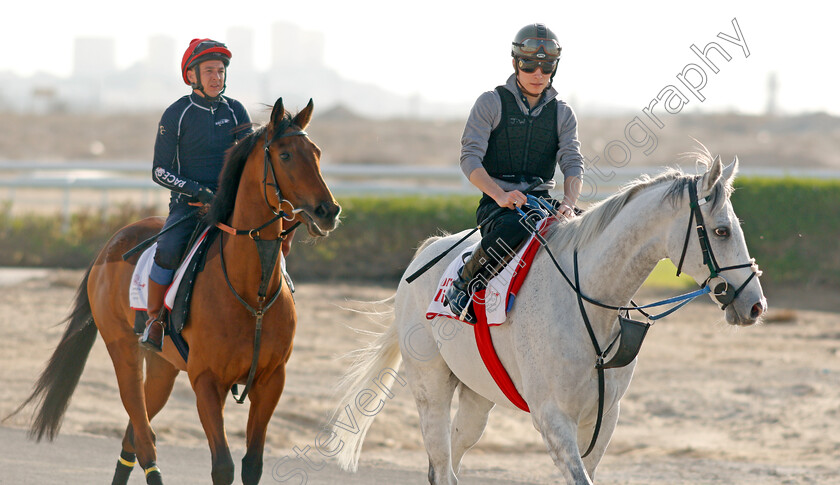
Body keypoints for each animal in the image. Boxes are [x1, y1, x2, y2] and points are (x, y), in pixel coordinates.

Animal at [11, 96, 340, 482]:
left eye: (316, 152)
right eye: (285, 155)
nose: (328, 211)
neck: (252, 294)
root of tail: (110, 245)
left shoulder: (271, 380)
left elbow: (252, 465)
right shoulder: (207, 381)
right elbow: (223, 466)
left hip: (163, 368)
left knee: (132, 435)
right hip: (123, 351)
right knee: (143, 436)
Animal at [328, 155, 768, 484]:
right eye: (721, 230)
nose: (755, 304)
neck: (586, 300)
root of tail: (424, 254)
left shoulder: (604, 419)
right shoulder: (553, 420)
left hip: (478, 397)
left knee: (453, 458)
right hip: (431, 389)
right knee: (439, 463)